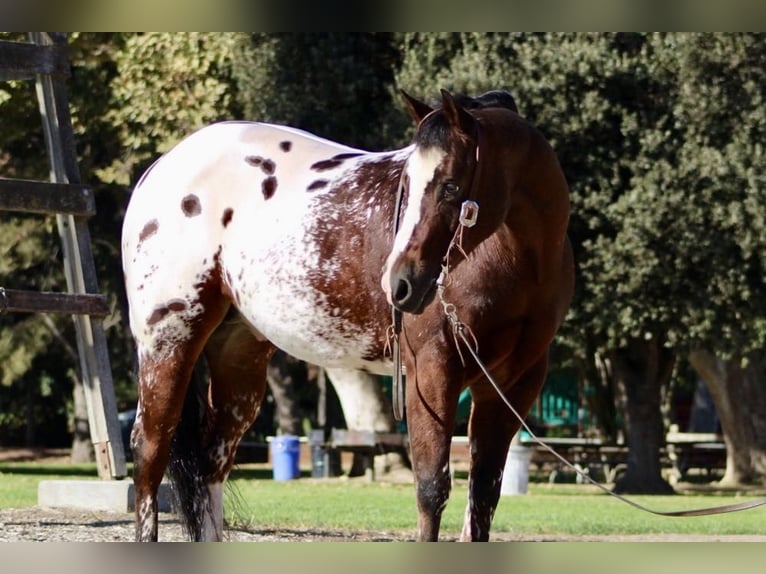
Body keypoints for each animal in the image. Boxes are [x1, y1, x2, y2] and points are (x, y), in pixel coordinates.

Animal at [121, 89, 574, 542]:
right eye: (406, 186)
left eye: (450, 186)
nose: (400, 283)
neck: (516, 262)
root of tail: (162, 167)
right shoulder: (433, 371)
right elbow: (432, 489)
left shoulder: (510, 386)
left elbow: (482, 498)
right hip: (169, 341)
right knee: (150, 451)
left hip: (239, 358)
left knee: (212, 461)